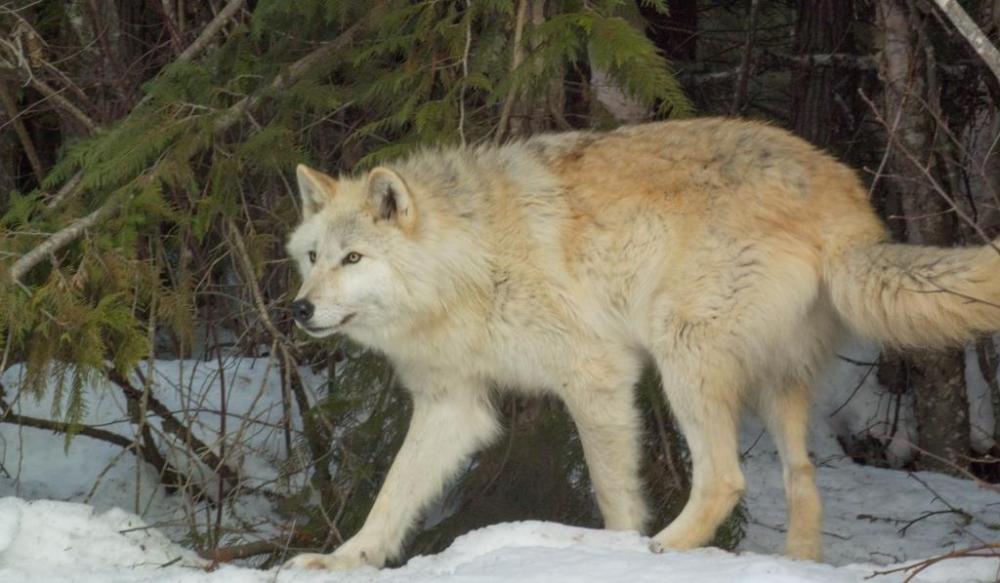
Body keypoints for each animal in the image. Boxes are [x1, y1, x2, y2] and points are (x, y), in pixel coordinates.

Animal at [283, 118, 1000, 570]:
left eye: (354, 258)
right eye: (314, 257)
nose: (299, 309)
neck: (469, 259)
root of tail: (847, 206)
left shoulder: (596, 377)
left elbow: (614, 494)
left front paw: (617, 554)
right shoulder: (452, 406)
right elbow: (392, 495)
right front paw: (344, 560)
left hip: (682, 354)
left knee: (725, 480)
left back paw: (664, 551)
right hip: (774, 387)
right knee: (802, 477)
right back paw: (797, 564)